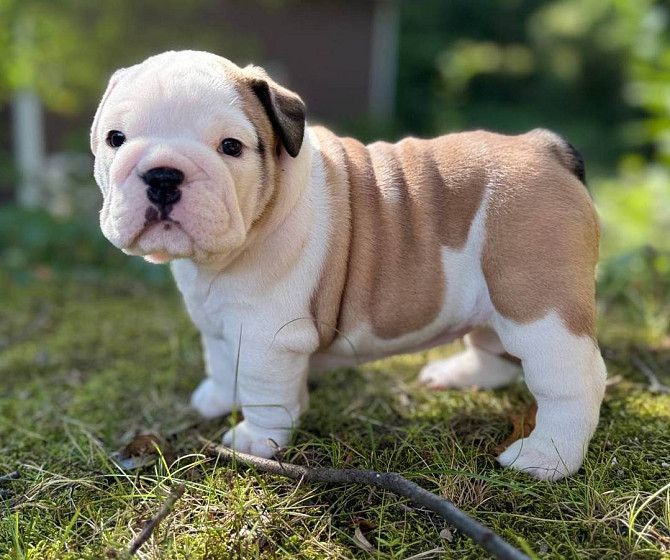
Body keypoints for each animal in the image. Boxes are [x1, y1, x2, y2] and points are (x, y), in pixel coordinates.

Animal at [90, 50, 608, 480]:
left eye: (231, 147)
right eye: (116, 139)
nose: (163, 174)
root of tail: (545, 147)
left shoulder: (266, 337)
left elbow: (261, 389)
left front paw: (256, 440)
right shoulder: (218, 323)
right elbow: (220, 362)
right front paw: (216, 399)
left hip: (538, 308)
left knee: (572, 381)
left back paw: (546, 457)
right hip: (494, 299)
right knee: (494, 350)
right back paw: (457, 375)